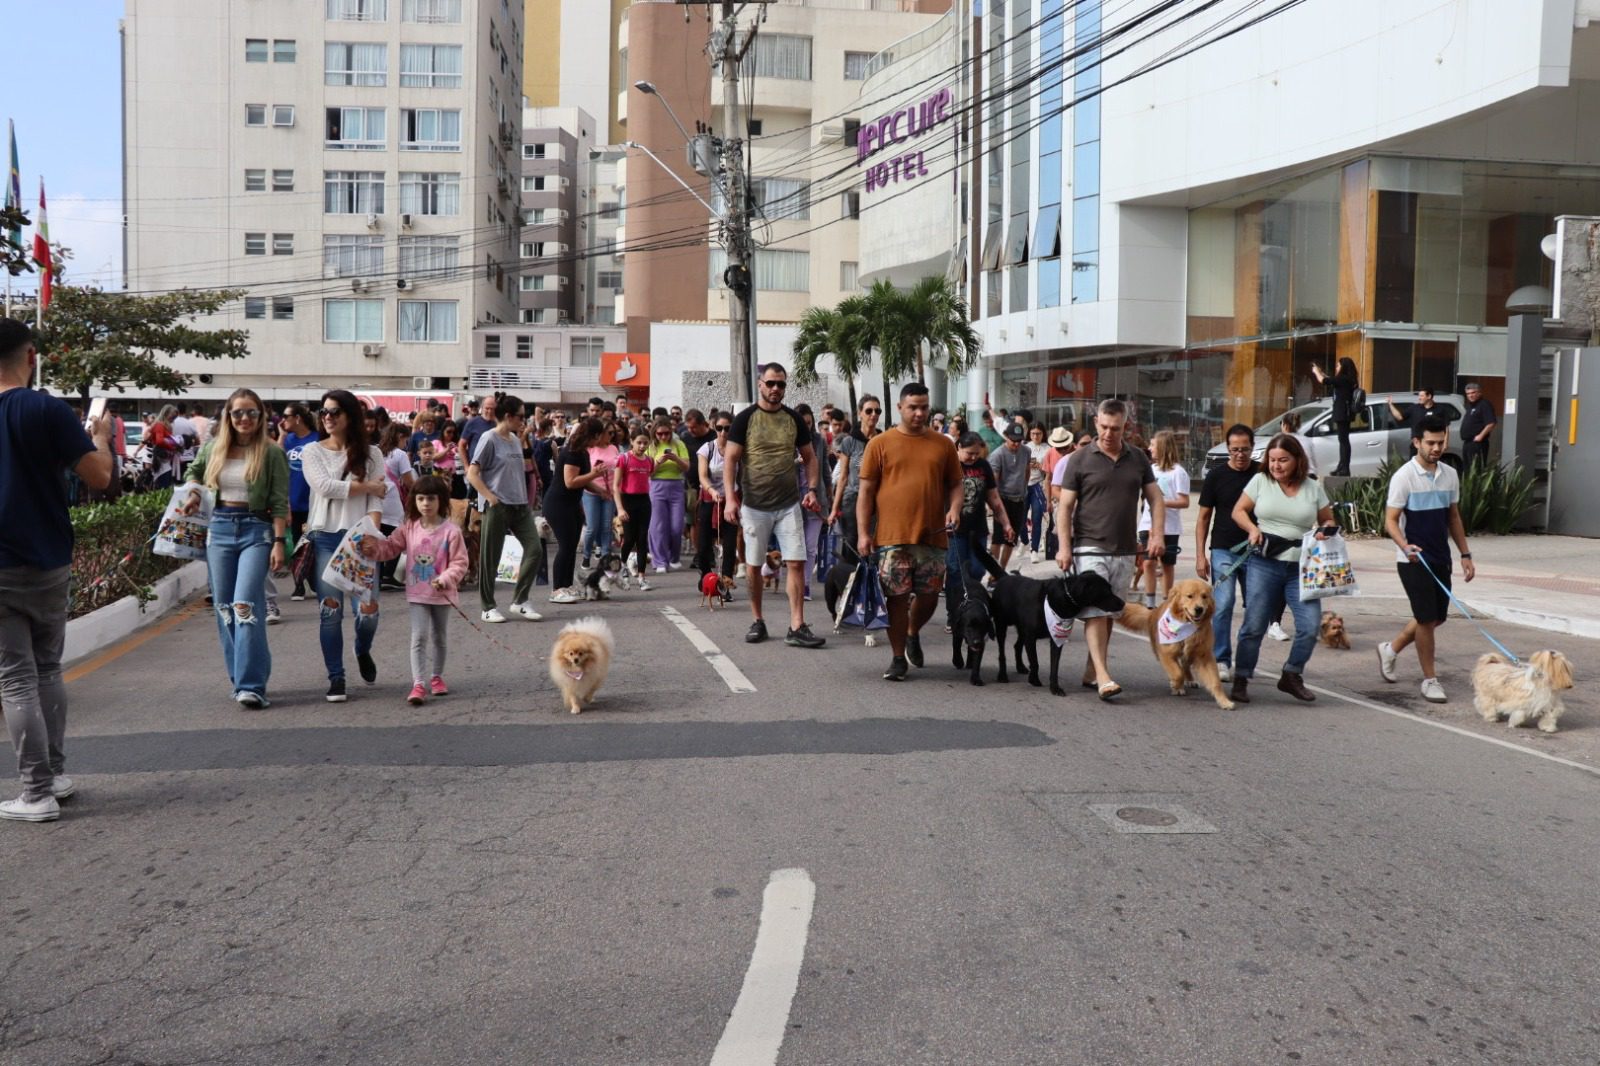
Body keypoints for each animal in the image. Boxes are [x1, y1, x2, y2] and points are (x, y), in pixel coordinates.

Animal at [985, 569, 1126, 694]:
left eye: (1110, 588)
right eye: (1105, 591)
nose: (1123, 603)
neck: (1065, 596)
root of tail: (1005, 577)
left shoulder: (1056, 640)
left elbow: (1054, 667)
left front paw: (1054, 688)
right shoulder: (1031, 637)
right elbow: (1035, 661)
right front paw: (1034, 680)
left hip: (1022, 629)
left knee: (1017, 646)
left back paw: (1020, 667)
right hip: (1002, 626)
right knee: (1002, 653)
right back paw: (1002, 675)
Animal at [1113, 576, 1235, 710]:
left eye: (1204, 596)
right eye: (1190, 596)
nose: (1199, 609)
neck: (1187, 624)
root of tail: (1153, 612)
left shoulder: (1204, 656)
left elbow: (1215, 681)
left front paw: (1224, 701)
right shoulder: (1166, 653)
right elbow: (1177, 673)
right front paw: (1176, 686)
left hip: (1190, 654)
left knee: (1185, 665)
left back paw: (1190, 680)